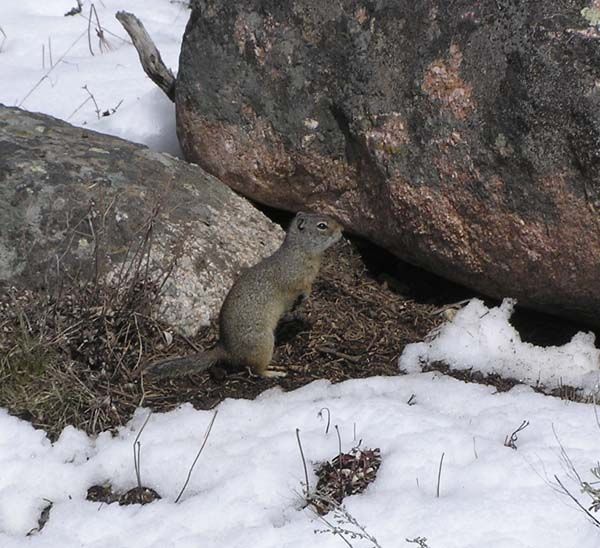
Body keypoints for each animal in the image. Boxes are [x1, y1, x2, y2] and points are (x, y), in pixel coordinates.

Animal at [145, 212, 342, 378]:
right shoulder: (294, 278)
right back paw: (273, 372)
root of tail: (225, 349)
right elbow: (301, 287)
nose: (341, 230)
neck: (301, 251)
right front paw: (306, 296)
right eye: (322, 225)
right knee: (255, 370)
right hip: (263, 343)